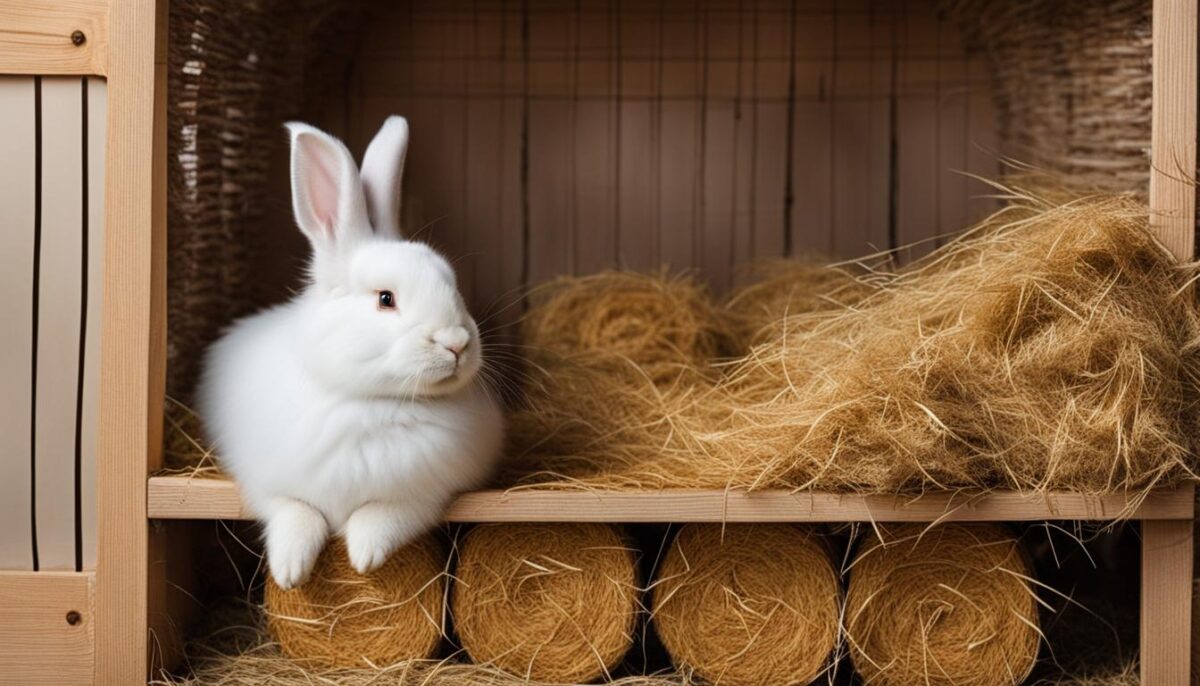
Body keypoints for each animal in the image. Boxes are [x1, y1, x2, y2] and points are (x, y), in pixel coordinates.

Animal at [198, 117, 504, 589]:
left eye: (452, 284)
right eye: (385, 299)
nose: (456, 342)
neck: (374, 403)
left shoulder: (429, 491)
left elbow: (386, 515)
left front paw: (364, 555)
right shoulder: (267, 480)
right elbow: (294, 510)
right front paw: (290, 571)